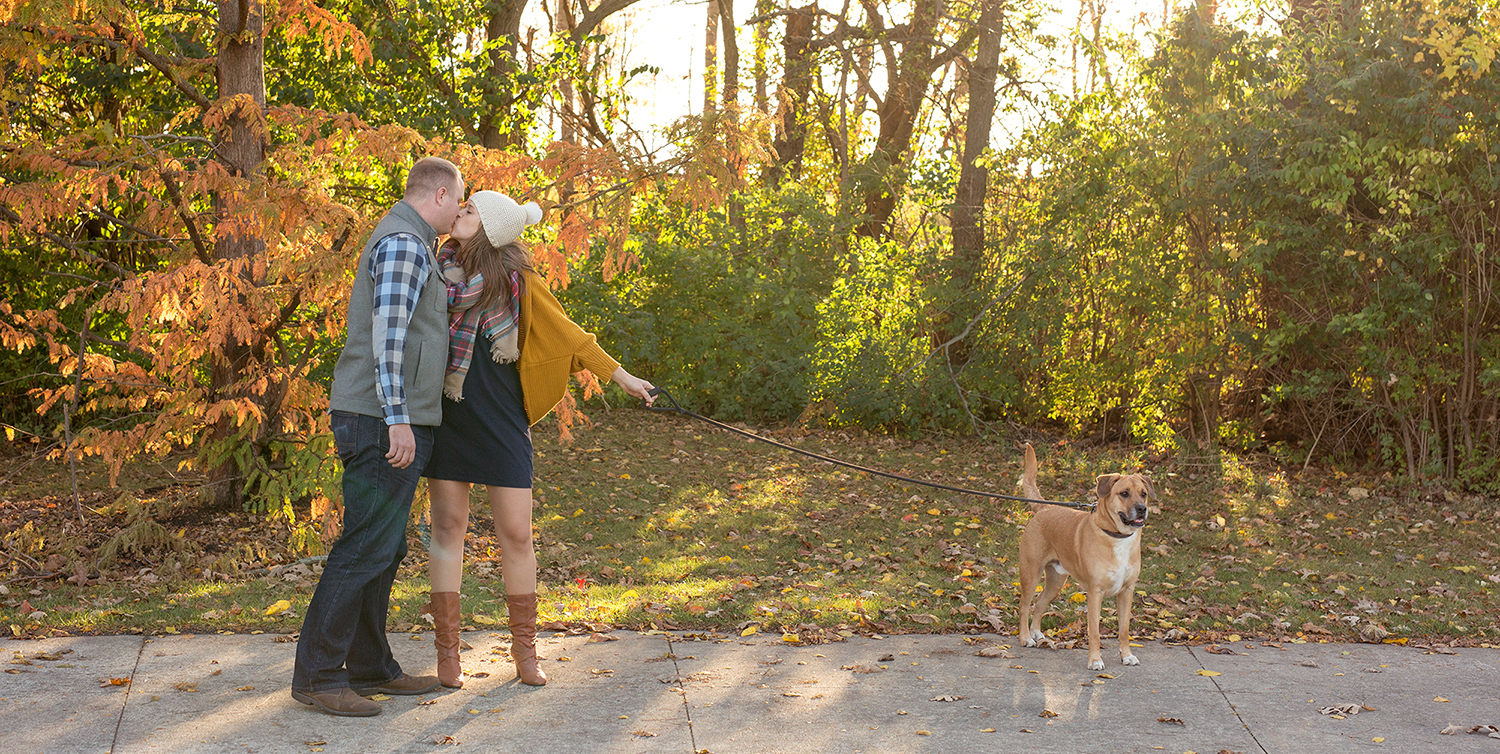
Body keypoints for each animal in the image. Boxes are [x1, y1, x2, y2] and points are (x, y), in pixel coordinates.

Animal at [1014, 446, 1152, 668]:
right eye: (1124, 494)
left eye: (1143, 494)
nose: (1142, 508)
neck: (1116, 536)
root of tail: (1045, 507)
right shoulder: (1095, 593)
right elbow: (1094, 632)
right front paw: (1095, 660)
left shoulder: (1127, 591)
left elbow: (1124, 630)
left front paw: (1127, 655)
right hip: (1030, 573)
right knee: (1024, 605)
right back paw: (1025, 637)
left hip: (1056, 580)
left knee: (1040, 603)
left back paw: (1036, 632)